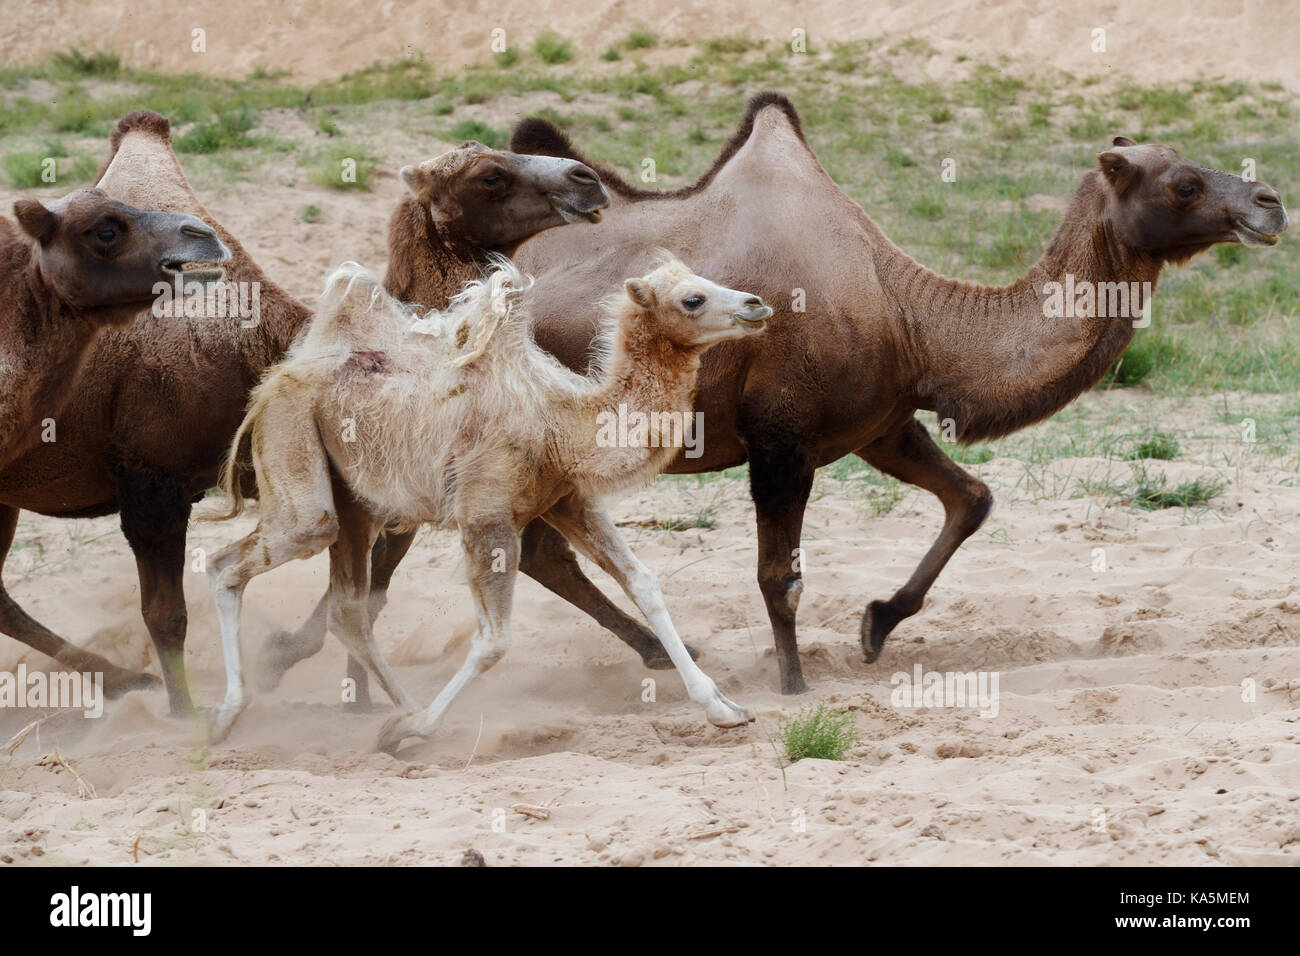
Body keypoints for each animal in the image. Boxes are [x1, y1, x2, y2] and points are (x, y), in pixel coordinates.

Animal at [206, 253, 772, 748]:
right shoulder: (486, 516)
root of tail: (274, 380)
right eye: (693, 298)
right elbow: (494, 640)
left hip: (356, 502)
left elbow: (644, 583)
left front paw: (724, 709)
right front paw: (416, 731)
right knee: (233, 561)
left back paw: (399, 709)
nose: (757, 303)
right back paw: (227, 716)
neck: (562, 424)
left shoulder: (568, 499)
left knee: (344, 609)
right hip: (295, 447)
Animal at [312, 91, 1279, 699]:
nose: (1269, 200)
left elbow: (971, 498)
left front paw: (878, 625)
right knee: (415, 543)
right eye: (1184, 181)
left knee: (532, 551)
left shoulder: (880, 424)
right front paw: (793, 683)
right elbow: (780, 575)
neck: (911, 310)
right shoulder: (783, 441)